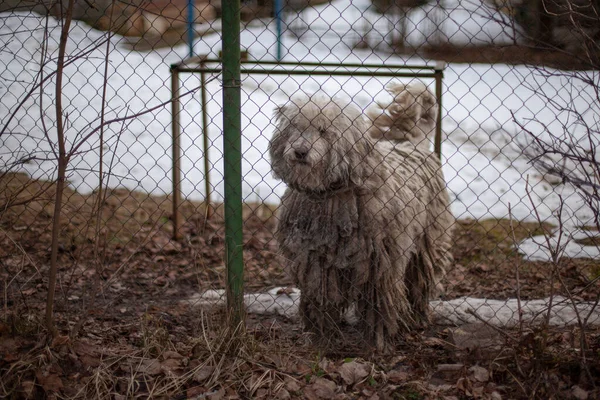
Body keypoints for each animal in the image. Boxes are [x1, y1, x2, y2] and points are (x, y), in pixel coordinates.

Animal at [270, 85, 452, 350]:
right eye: (296, 127)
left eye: (323, 131)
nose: (300, 151)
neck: (331, 194)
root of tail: (414, 145)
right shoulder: (316, 262)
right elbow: (321, 299)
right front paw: (322, 336)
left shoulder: (381, 263)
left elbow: (379, 303)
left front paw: (379, 342)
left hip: (427, 240)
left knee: (420, 280)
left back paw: (419, 316)